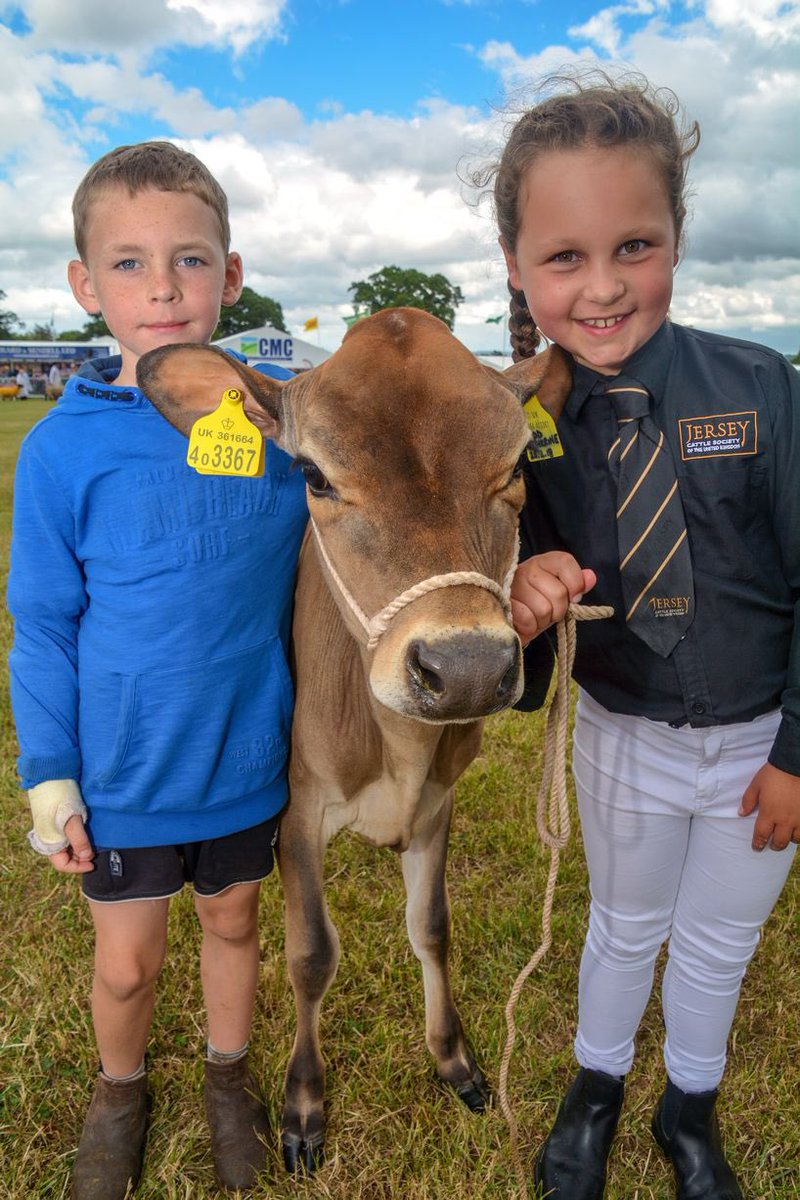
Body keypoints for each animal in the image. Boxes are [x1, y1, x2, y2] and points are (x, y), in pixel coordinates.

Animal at [137, 307, 571, 1174]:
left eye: (516, 465)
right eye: (313, 475)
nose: (465, 667)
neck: (397, 752)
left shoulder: (439, 802)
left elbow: (432, 927)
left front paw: (454, 1060)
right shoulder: (297, 810)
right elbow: (311, 955)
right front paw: (305, 1104)